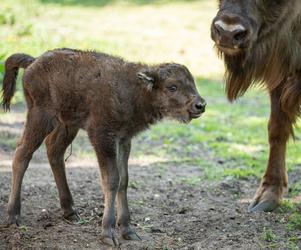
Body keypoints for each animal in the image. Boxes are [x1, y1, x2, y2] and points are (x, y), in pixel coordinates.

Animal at [1, 48, 204, 246]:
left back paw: (70, 211)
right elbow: (111, 180)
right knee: (22, 154)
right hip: (41, 117)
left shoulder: (124, 139)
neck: (136, 89)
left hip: (67, 125)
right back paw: (13, 216)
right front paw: (108, 233)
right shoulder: (102, 138)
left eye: (192, 83)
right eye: (172, 87)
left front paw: (128, 230)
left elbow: (124, 180)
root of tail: (33, 61)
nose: (200, 105)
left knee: (54, 151)